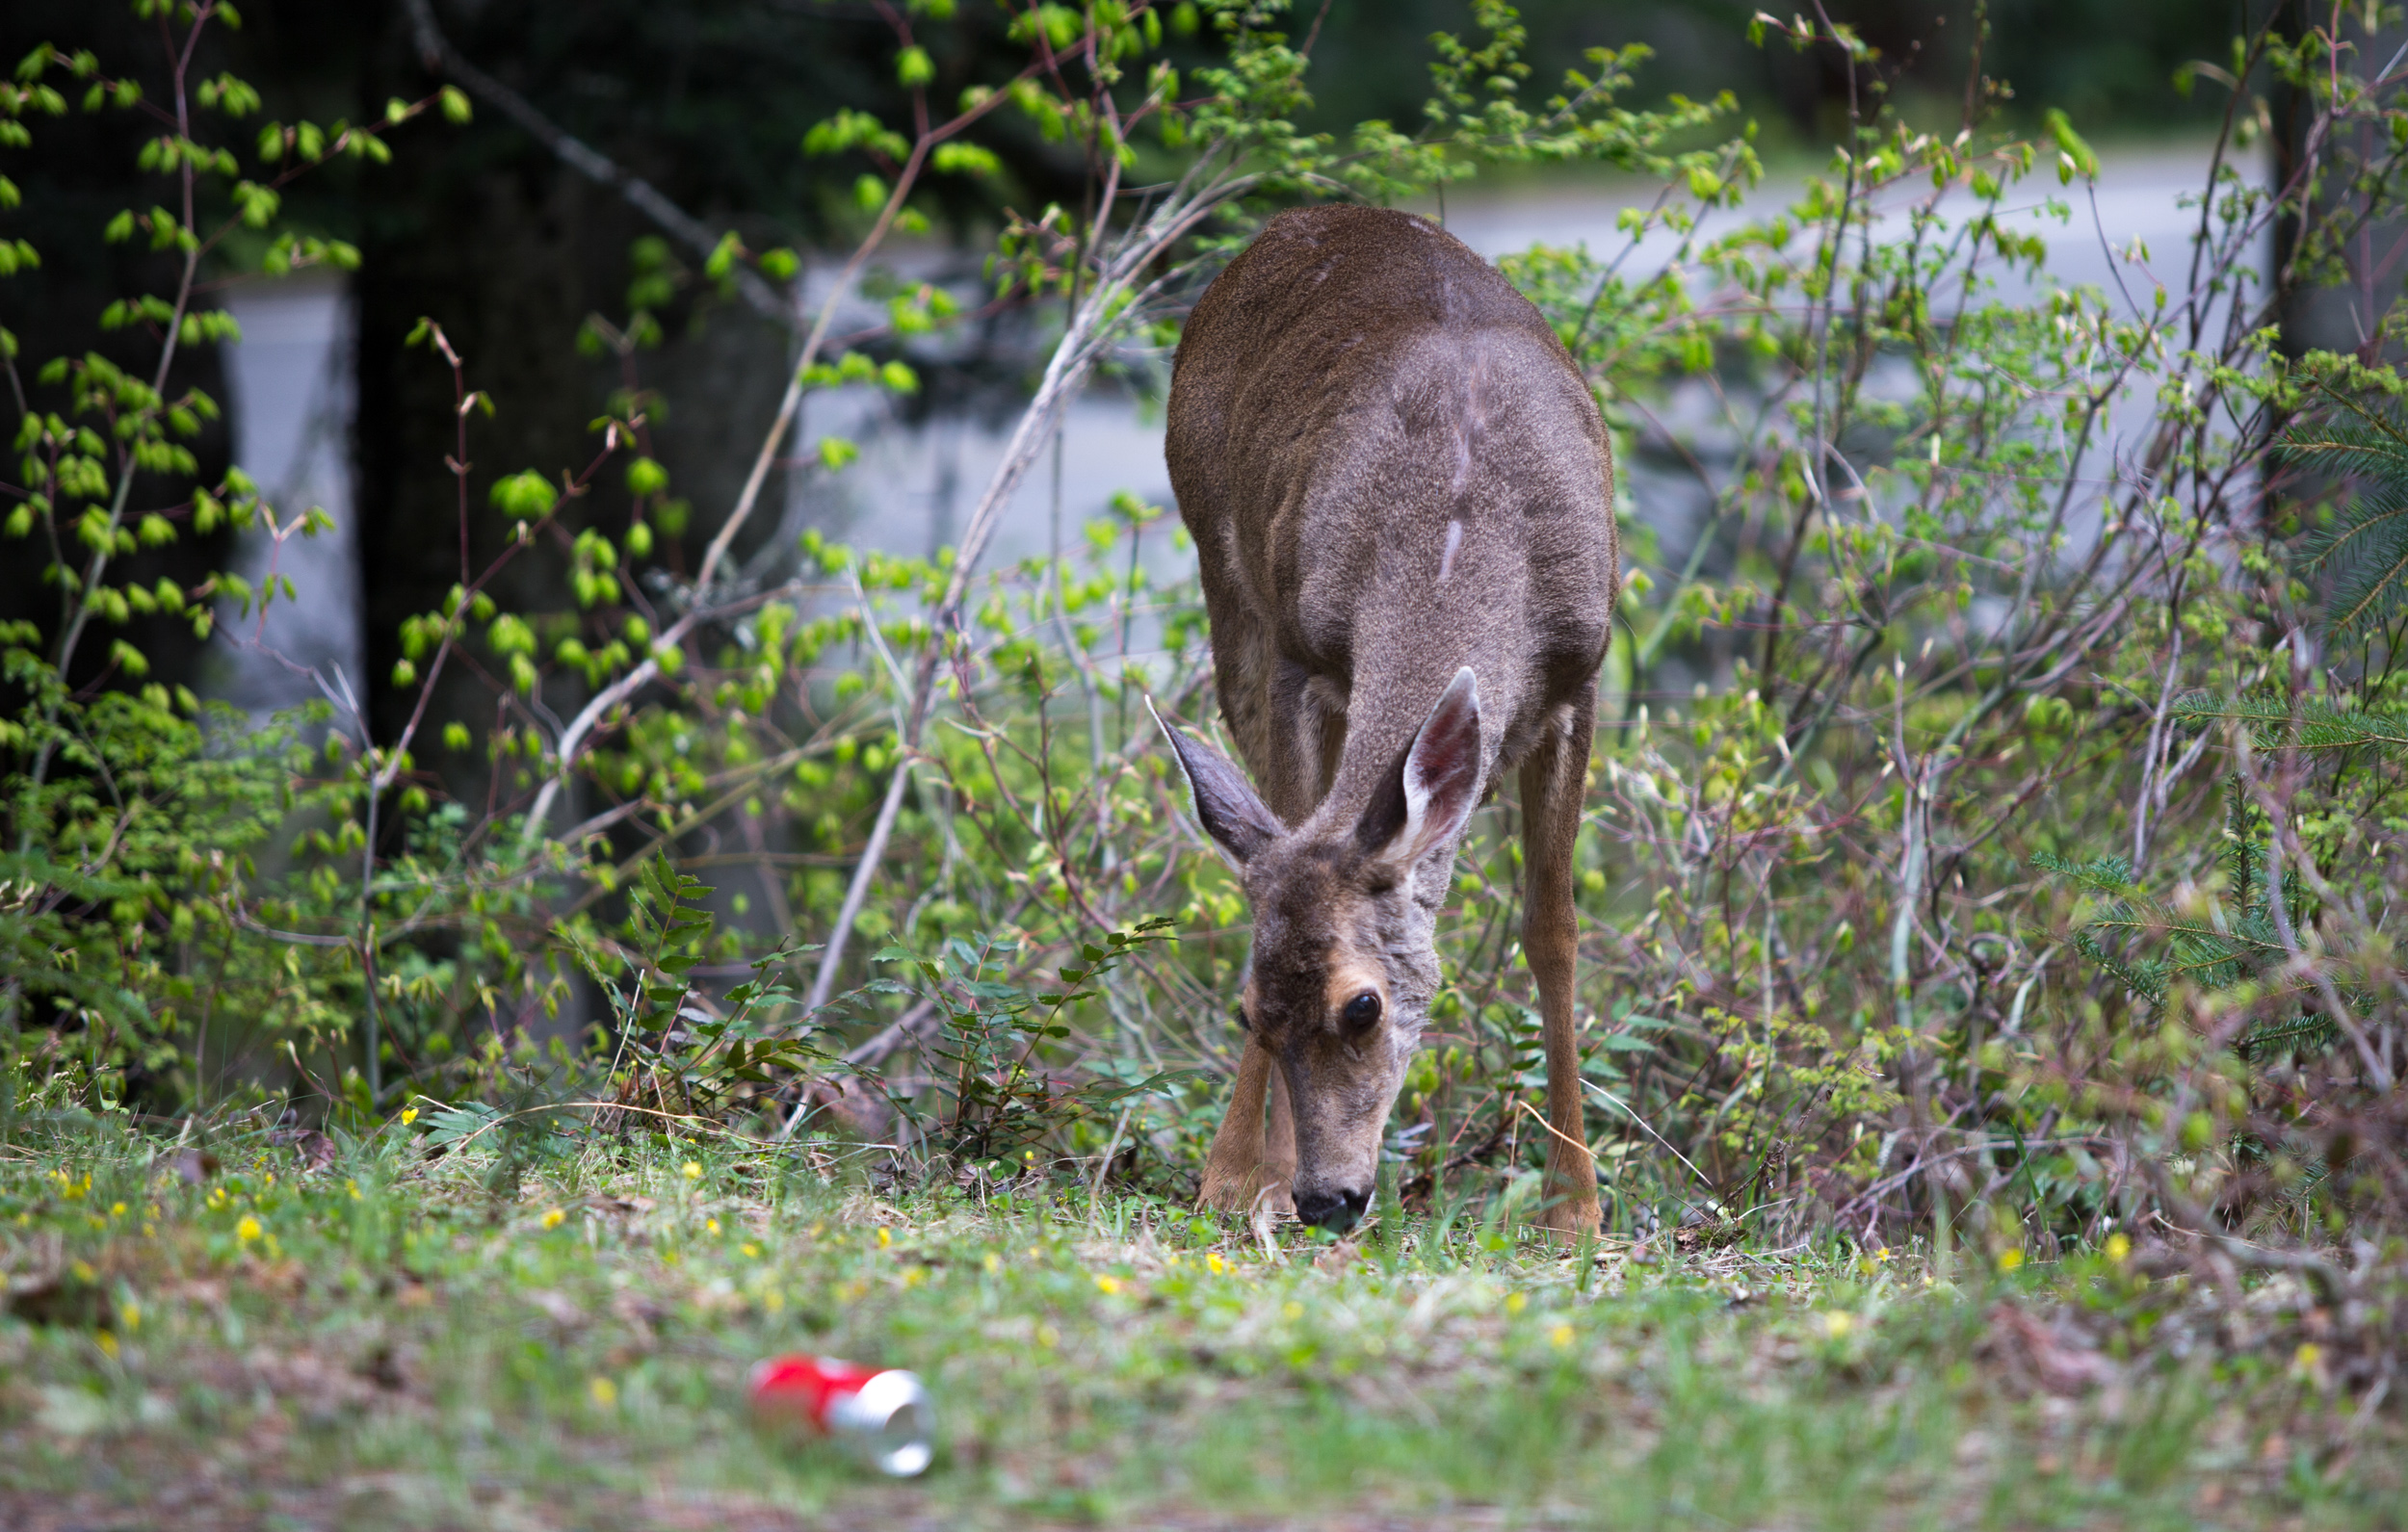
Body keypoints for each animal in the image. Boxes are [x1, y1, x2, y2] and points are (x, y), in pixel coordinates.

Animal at [1161, 203, 1628, 1242]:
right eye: (1249, 1010)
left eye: (1363, 1006)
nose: (1326, 1197)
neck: (1457, 529)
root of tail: (1307, 217)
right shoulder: (1299, 656)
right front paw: (1242, 1179)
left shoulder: (1579, 677)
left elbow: (1554, 929)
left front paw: (1575, 1206)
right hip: (1228, 588)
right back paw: (1239, 1172)